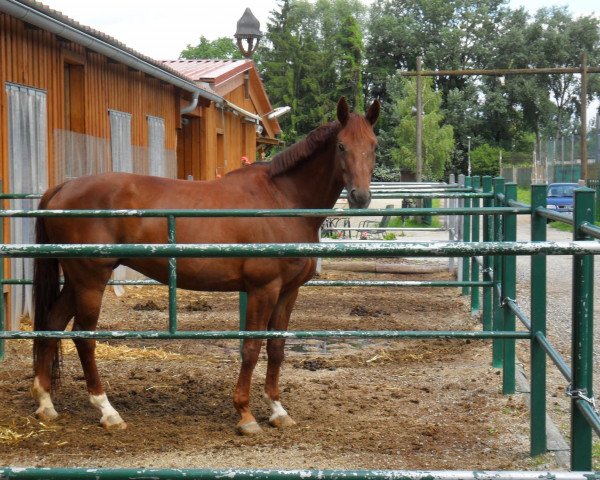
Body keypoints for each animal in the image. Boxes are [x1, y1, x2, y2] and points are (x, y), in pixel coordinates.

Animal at [31, 97, 380, 436]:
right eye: (341, 146)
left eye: (373, 145)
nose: (360, 197)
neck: (282, 200)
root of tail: (61, 189)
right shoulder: (263, 289)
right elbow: (251, 347)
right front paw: (245, 415)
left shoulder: (288, 292)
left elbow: (277, 347)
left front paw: (278, 410)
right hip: (91, 279)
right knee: (83, 336)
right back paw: (107, 411)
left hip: (76, 280)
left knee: (52, 323)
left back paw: (46, 404)